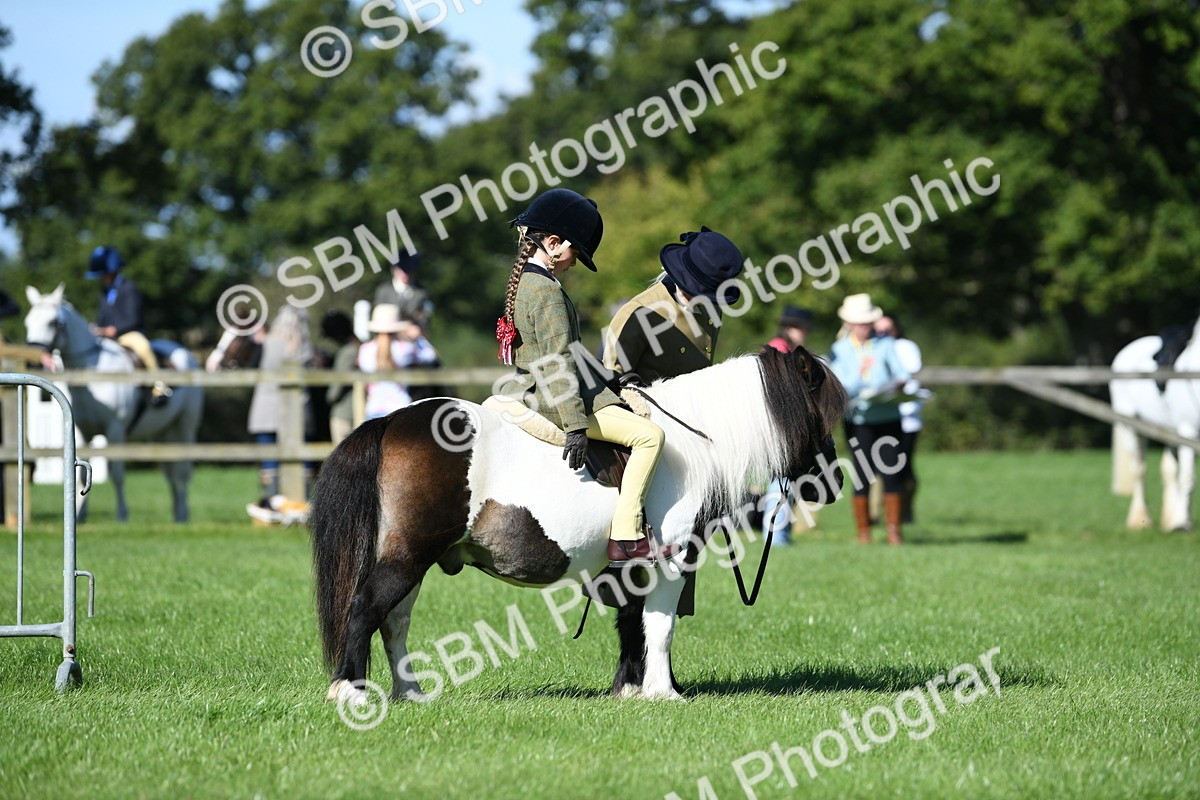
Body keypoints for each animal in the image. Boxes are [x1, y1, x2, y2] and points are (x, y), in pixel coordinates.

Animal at [23, 284, 205, 523]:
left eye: (54, 322)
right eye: (28, 321)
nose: (32, 360)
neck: (92, 375)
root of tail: (186, 354)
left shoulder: (115, 430)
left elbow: (117, 473)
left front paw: (121, 515)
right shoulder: (81, 431)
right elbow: (81, 473)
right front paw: (79, 515)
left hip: (185, 427)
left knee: (183, 471)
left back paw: (183, 513)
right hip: (162, 432)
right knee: (170, 471)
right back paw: (176, 514)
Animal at [310, 345, 848, 704]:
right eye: (819, 416)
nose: (832, 483)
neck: (692, 445)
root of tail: (390, 421)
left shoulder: (632, 567)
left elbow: (632, 623)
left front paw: (630, 689)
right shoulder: (671, 561)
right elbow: (660, 625)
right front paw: (662, 693)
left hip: (414, 559)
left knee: (394, 621)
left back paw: (410, 692)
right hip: (408, 557)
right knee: (366, 608)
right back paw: (351, 691)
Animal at [1110, 317, 1200, 531]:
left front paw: (1180, 520)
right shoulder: (1189, 431)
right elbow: (1188, 479)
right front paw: (1182, 523)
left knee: (1169, 469)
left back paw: (1170, 519)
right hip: (1133, 426)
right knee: (1139, 470)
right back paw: (1140, 520)